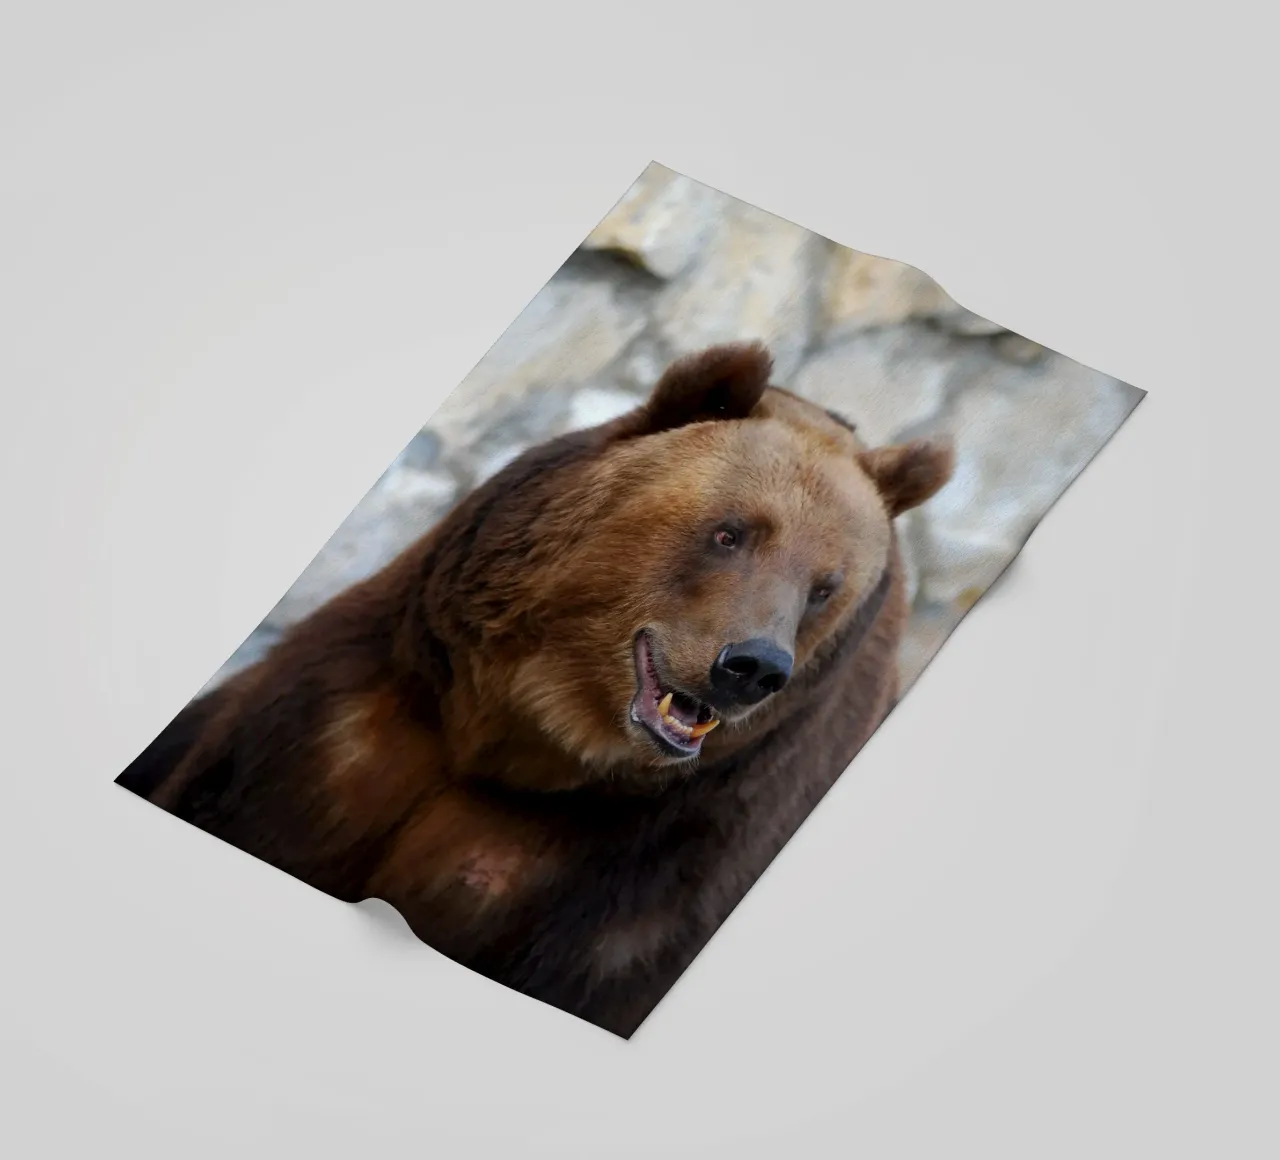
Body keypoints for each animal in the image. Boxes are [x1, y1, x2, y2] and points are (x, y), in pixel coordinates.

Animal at [117, 341, 954, 1038]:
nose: (752, 665)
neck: (523, 736)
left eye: (825, 587)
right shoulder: (354, 724)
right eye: (731, 532)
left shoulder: (638, 877)